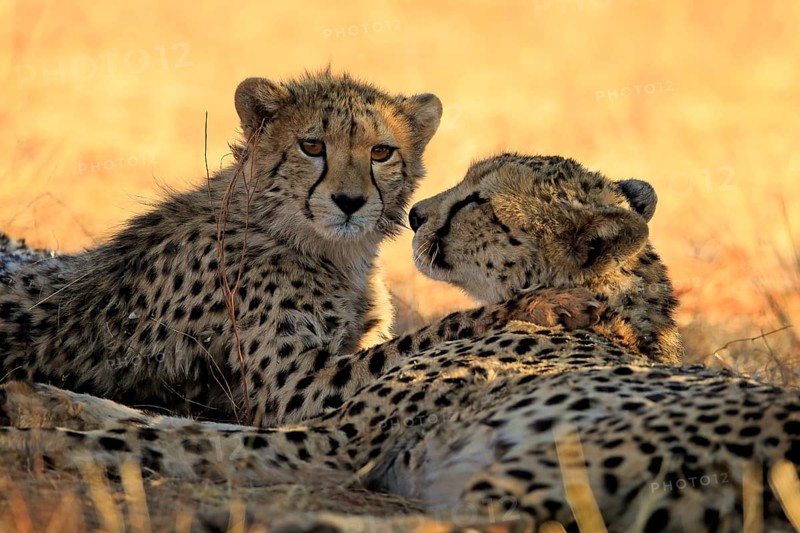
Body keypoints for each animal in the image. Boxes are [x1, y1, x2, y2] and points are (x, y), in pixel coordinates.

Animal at [3, 154, 797, 532]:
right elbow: (150, 417)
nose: (414, 214)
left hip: (555, 458)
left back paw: (277, 520)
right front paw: (40, 398)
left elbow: (165, 437)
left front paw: (27, 439)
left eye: (480, 201)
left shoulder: (330, 441)